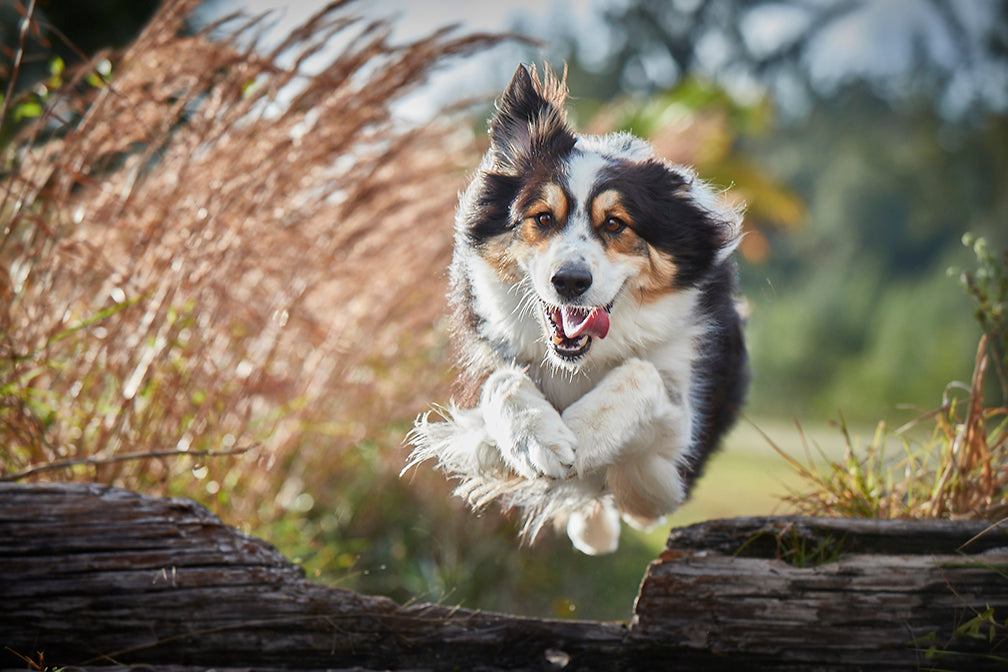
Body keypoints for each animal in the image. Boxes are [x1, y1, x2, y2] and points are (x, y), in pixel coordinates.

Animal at [403, 64, 749, 556]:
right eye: (543, 217)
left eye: (616, 224)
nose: (569, 281)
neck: (579, 364)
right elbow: (501, 383)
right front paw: (540, 438)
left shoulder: (674, 462)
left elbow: (641, 375)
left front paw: (581, 435)